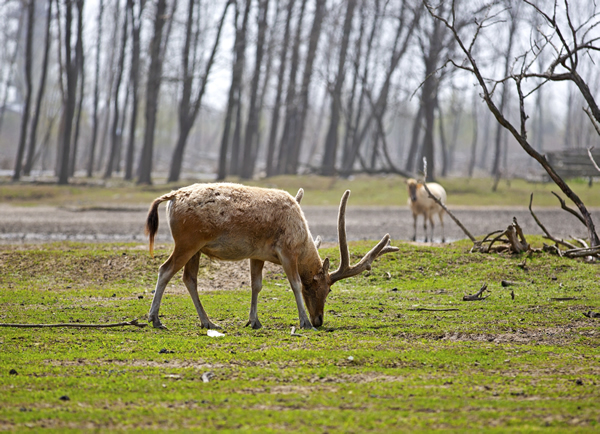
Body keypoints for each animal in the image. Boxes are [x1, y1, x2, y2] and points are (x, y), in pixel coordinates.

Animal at [144, 182, 398, 328]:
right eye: (325, 289)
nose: (319, 320)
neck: (302, 241)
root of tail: (172, 197)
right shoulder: (286, 251)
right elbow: (294, 283)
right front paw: (303, 321)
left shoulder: (257, 255)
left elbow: (256, 285)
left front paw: (254, 321)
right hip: (187, 242)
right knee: (165, 270)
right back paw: (155, 319)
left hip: (196, 248)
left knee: (189, 278)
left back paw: (208, 322)